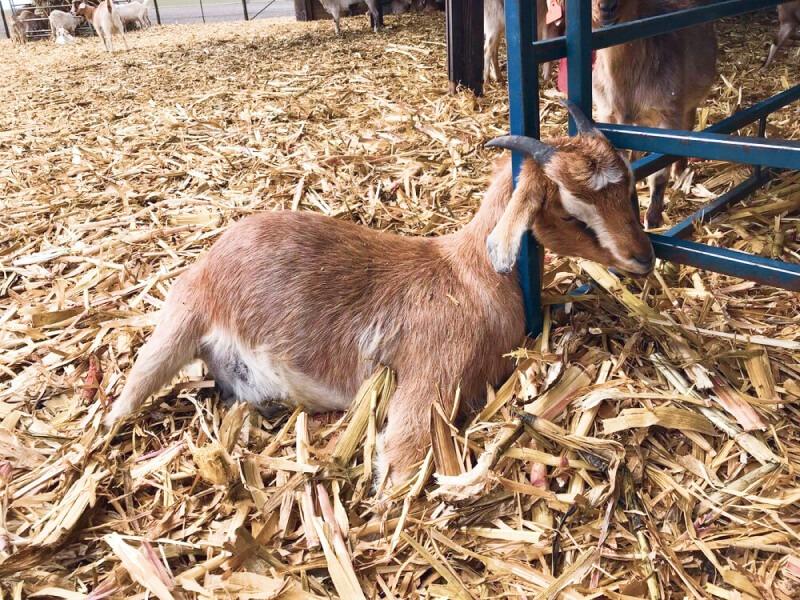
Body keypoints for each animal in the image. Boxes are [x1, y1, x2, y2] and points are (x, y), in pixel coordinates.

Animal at [103, 103, 653, 486]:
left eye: (629, 189)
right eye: (571, 211)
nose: (642, 258)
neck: (469, 274)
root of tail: (213, 256)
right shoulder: (431, 376)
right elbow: (401, 462)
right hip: (178, 323)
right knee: (127, 396)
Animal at [591, 0, 717, 229]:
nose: (606, 8)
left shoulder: (668, 114)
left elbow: (659, 172)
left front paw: (653, 218)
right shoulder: (608, 116)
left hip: (688, 100)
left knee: (688, 126)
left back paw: (680, 170)